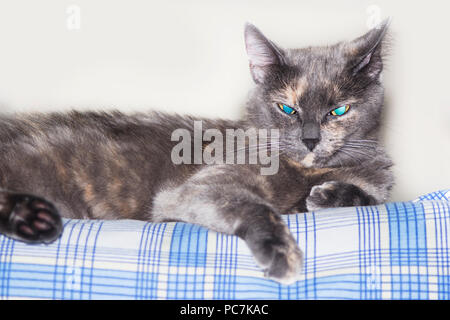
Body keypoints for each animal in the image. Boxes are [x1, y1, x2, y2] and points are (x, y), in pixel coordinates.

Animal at [0, 21, 394, 284]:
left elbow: (372, 198)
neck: (309, 171)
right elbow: (257, 206)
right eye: (286, 108)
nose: (311, 139)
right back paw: (34, 218)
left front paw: (329, 195)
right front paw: (281, 252)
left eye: (338, 110)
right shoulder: (196, 189)